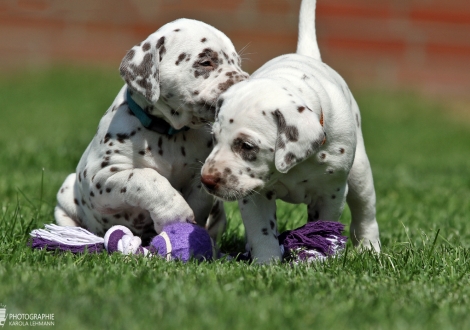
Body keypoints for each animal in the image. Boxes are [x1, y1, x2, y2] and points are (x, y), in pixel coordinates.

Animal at [53, 18, 248, 241]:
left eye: (238, 63)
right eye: (206, 62)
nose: (246, 84)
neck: (172, 133)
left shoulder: (200, 178)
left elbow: (199, 205)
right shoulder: (101, 176)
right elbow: (146, 178)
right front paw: (175, 212)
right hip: (66, 195)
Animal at [200, 0, 380, 262]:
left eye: (247, 146)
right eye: (214, 138)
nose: (206, 180)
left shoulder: (330, 193)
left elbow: (323, 227)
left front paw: (316, 256)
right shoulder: (255, 196)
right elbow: (262, 231)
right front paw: (266, 262)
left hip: (359, 174)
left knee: (365, 212)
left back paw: (370, 248)